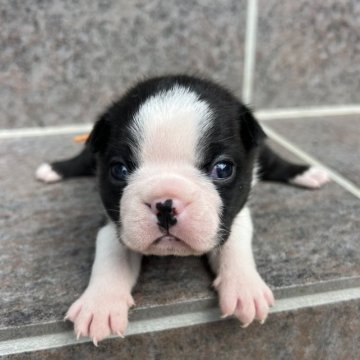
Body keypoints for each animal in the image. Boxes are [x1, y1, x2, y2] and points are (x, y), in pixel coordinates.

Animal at [35, 74, 330, 344]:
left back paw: (308, 173)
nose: (165, 204)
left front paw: (244, 287)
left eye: (223, 169)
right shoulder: (114, 221)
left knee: (275, 162)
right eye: (119, 170)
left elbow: (235, 244)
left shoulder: (233, 215)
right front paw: (101, 304)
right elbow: (111, 255)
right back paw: (53, 170)